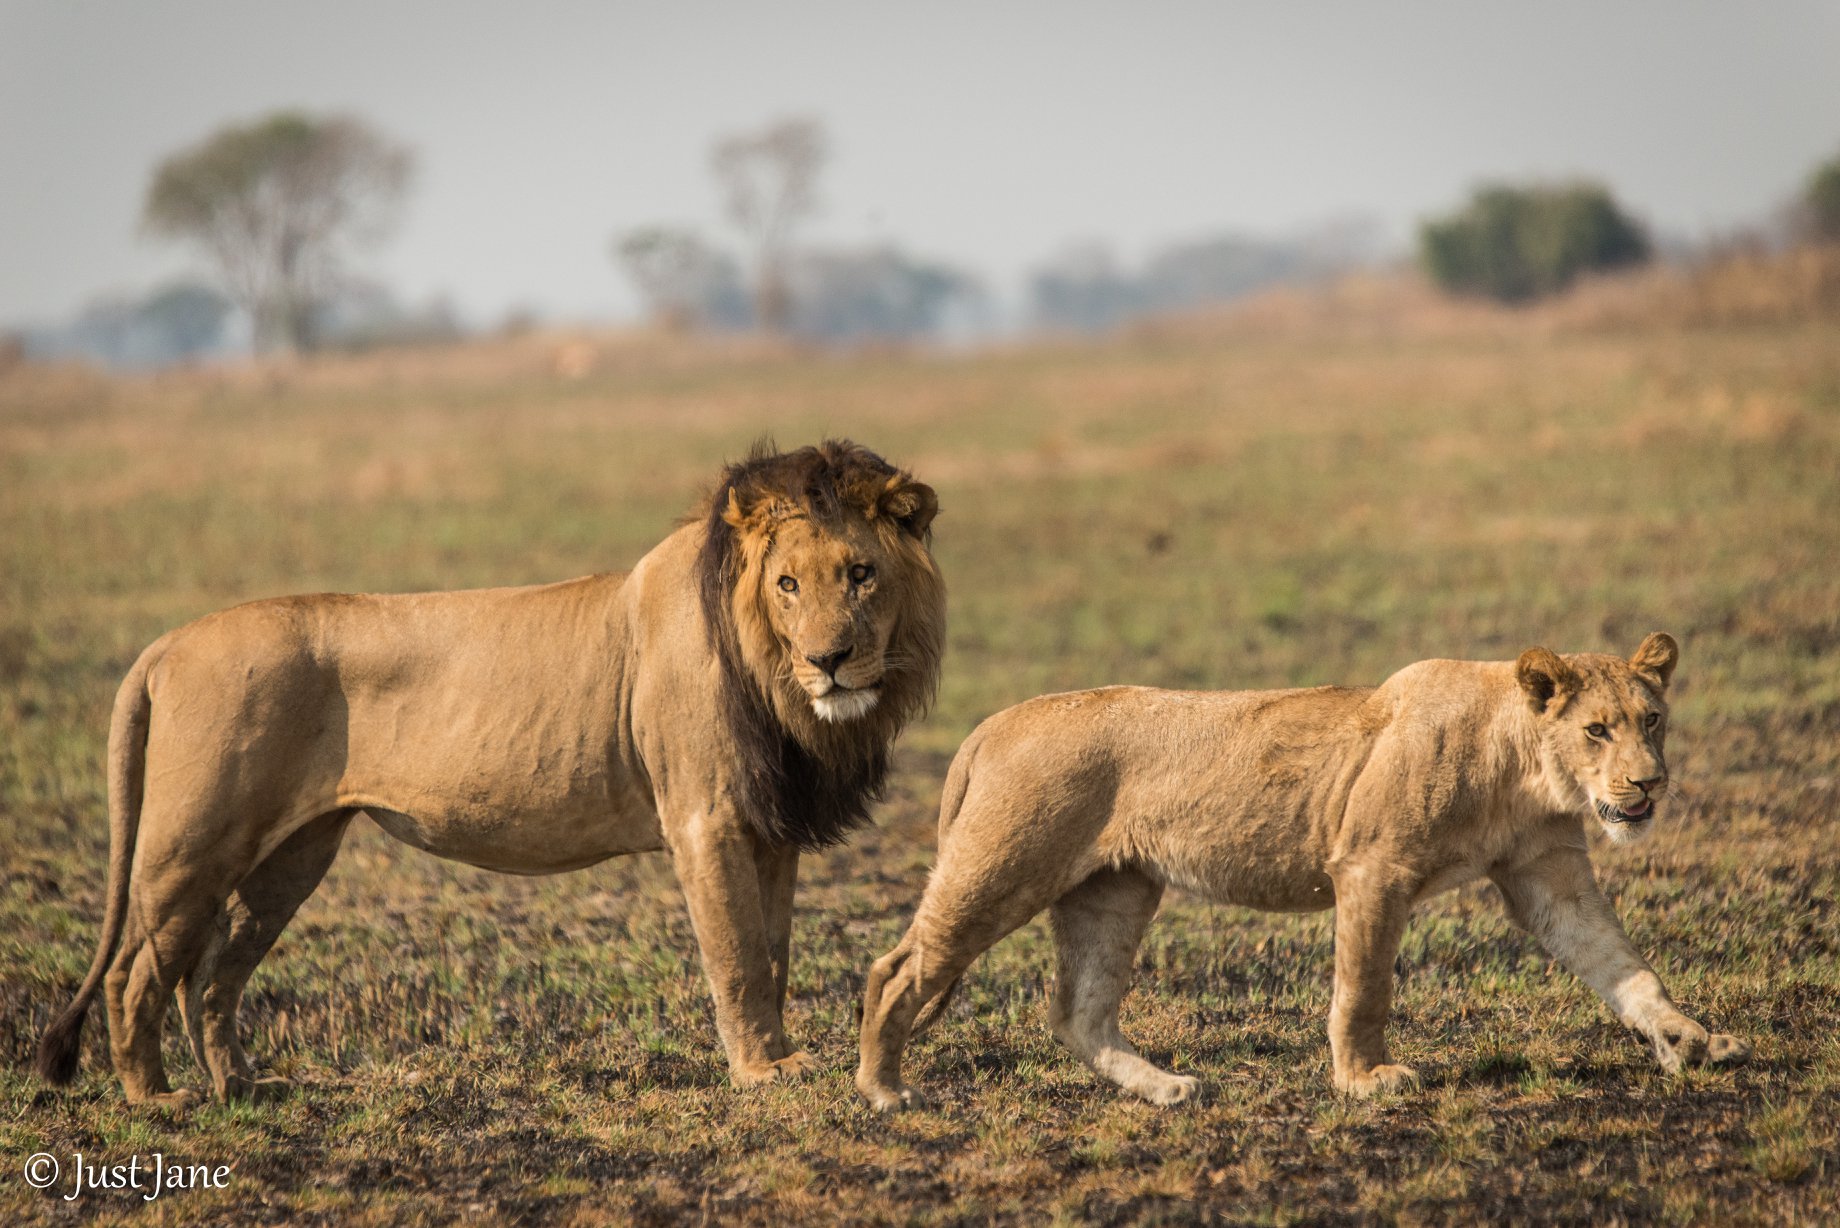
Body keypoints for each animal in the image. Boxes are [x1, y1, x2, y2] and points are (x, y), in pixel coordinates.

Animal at [37, 439, 944, 1106]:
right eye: (787, 584)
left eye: (860, 574)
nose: (830, 661)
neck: (778, 686)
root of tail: (166, 644)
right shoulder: (707, 819)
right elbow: (740, 955)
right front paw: (763, 1074)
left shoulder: (771, 830)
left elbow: (776, 952)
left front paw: (782, 1055)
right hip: (192, 847)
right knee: (134, 975)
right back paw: (157, 1099)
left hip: (291, 856)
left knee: (213, 977)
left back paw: (244, 1088)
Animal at [857, 633, 1749, 1111]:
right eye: (1597, 730)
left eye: (1652, 720)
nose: (1649, 784)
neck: (1523, 766)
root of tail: (993, 722)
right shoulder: (1373, 864)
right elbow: (1364, 988)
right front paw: (1366, 1080)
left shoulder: (1549, 878)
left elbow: (1624, 967)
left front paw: (1689, 1039)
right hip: (1004, 866)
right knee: (898, 968)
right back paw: (883, 1090)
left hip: (1114, 892)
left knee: (1078, 1012)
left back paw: (1166, 1089)